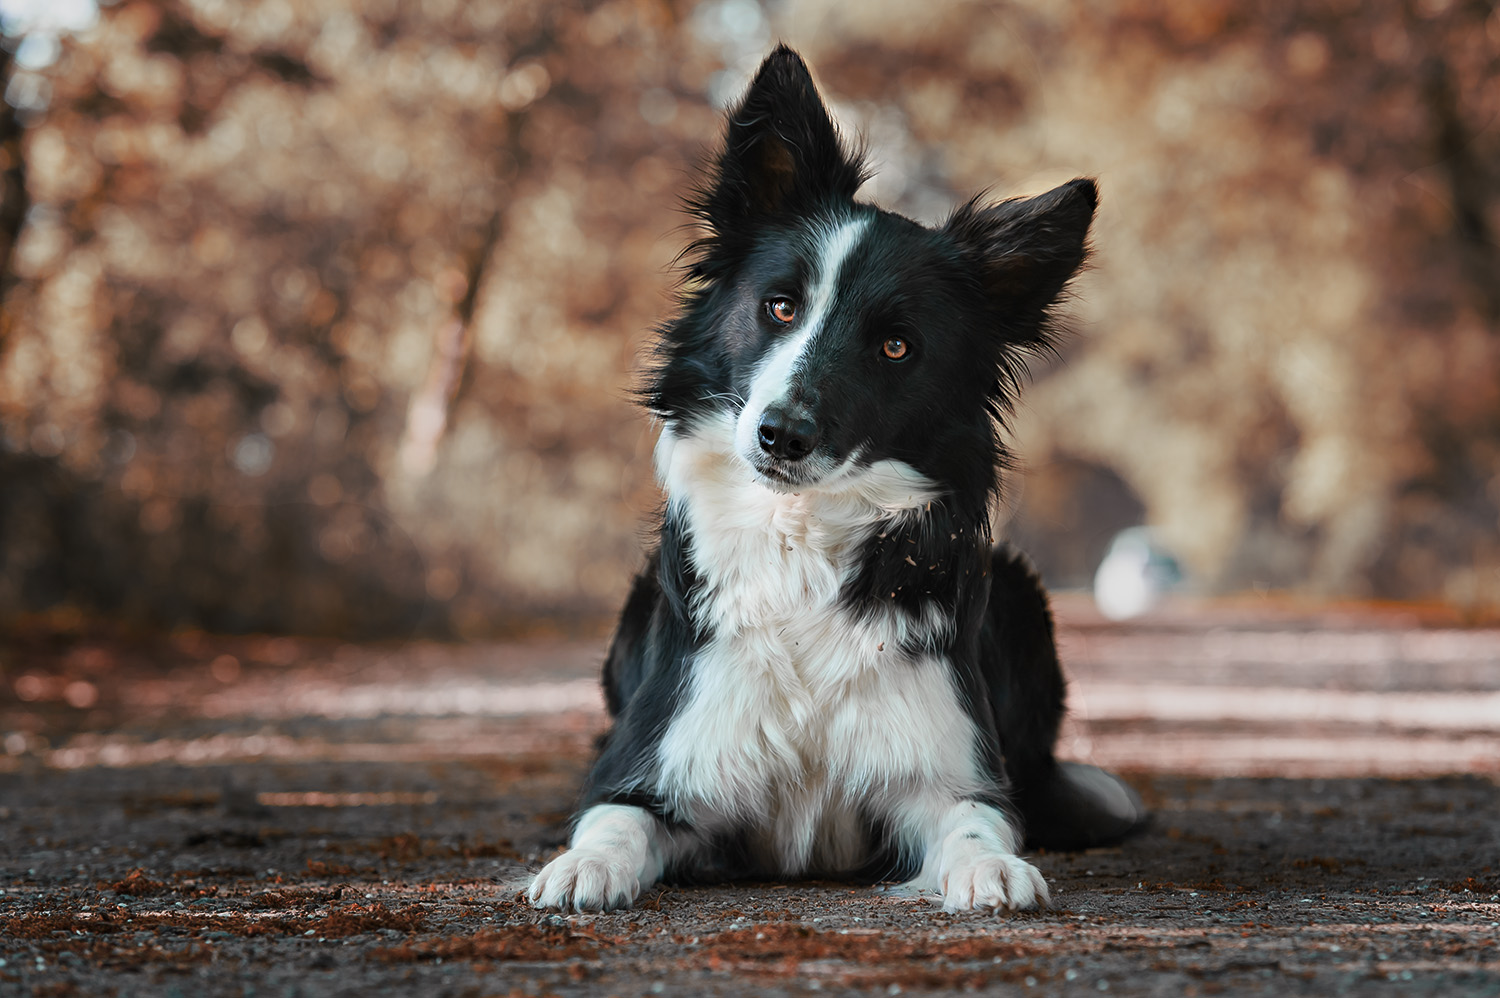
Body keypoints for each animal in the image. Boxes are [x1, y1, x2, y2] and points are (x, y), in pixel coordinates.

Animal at [531, 50, 1146, 912]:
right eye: (780, 307)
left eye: (895, 346)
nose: (782, 434)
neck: (801, 536)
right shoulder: (658, 761)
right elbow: (613, 818)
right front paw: (581, 864)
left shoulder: (947, 771)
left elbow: (978, 821)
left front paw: (991, 868)